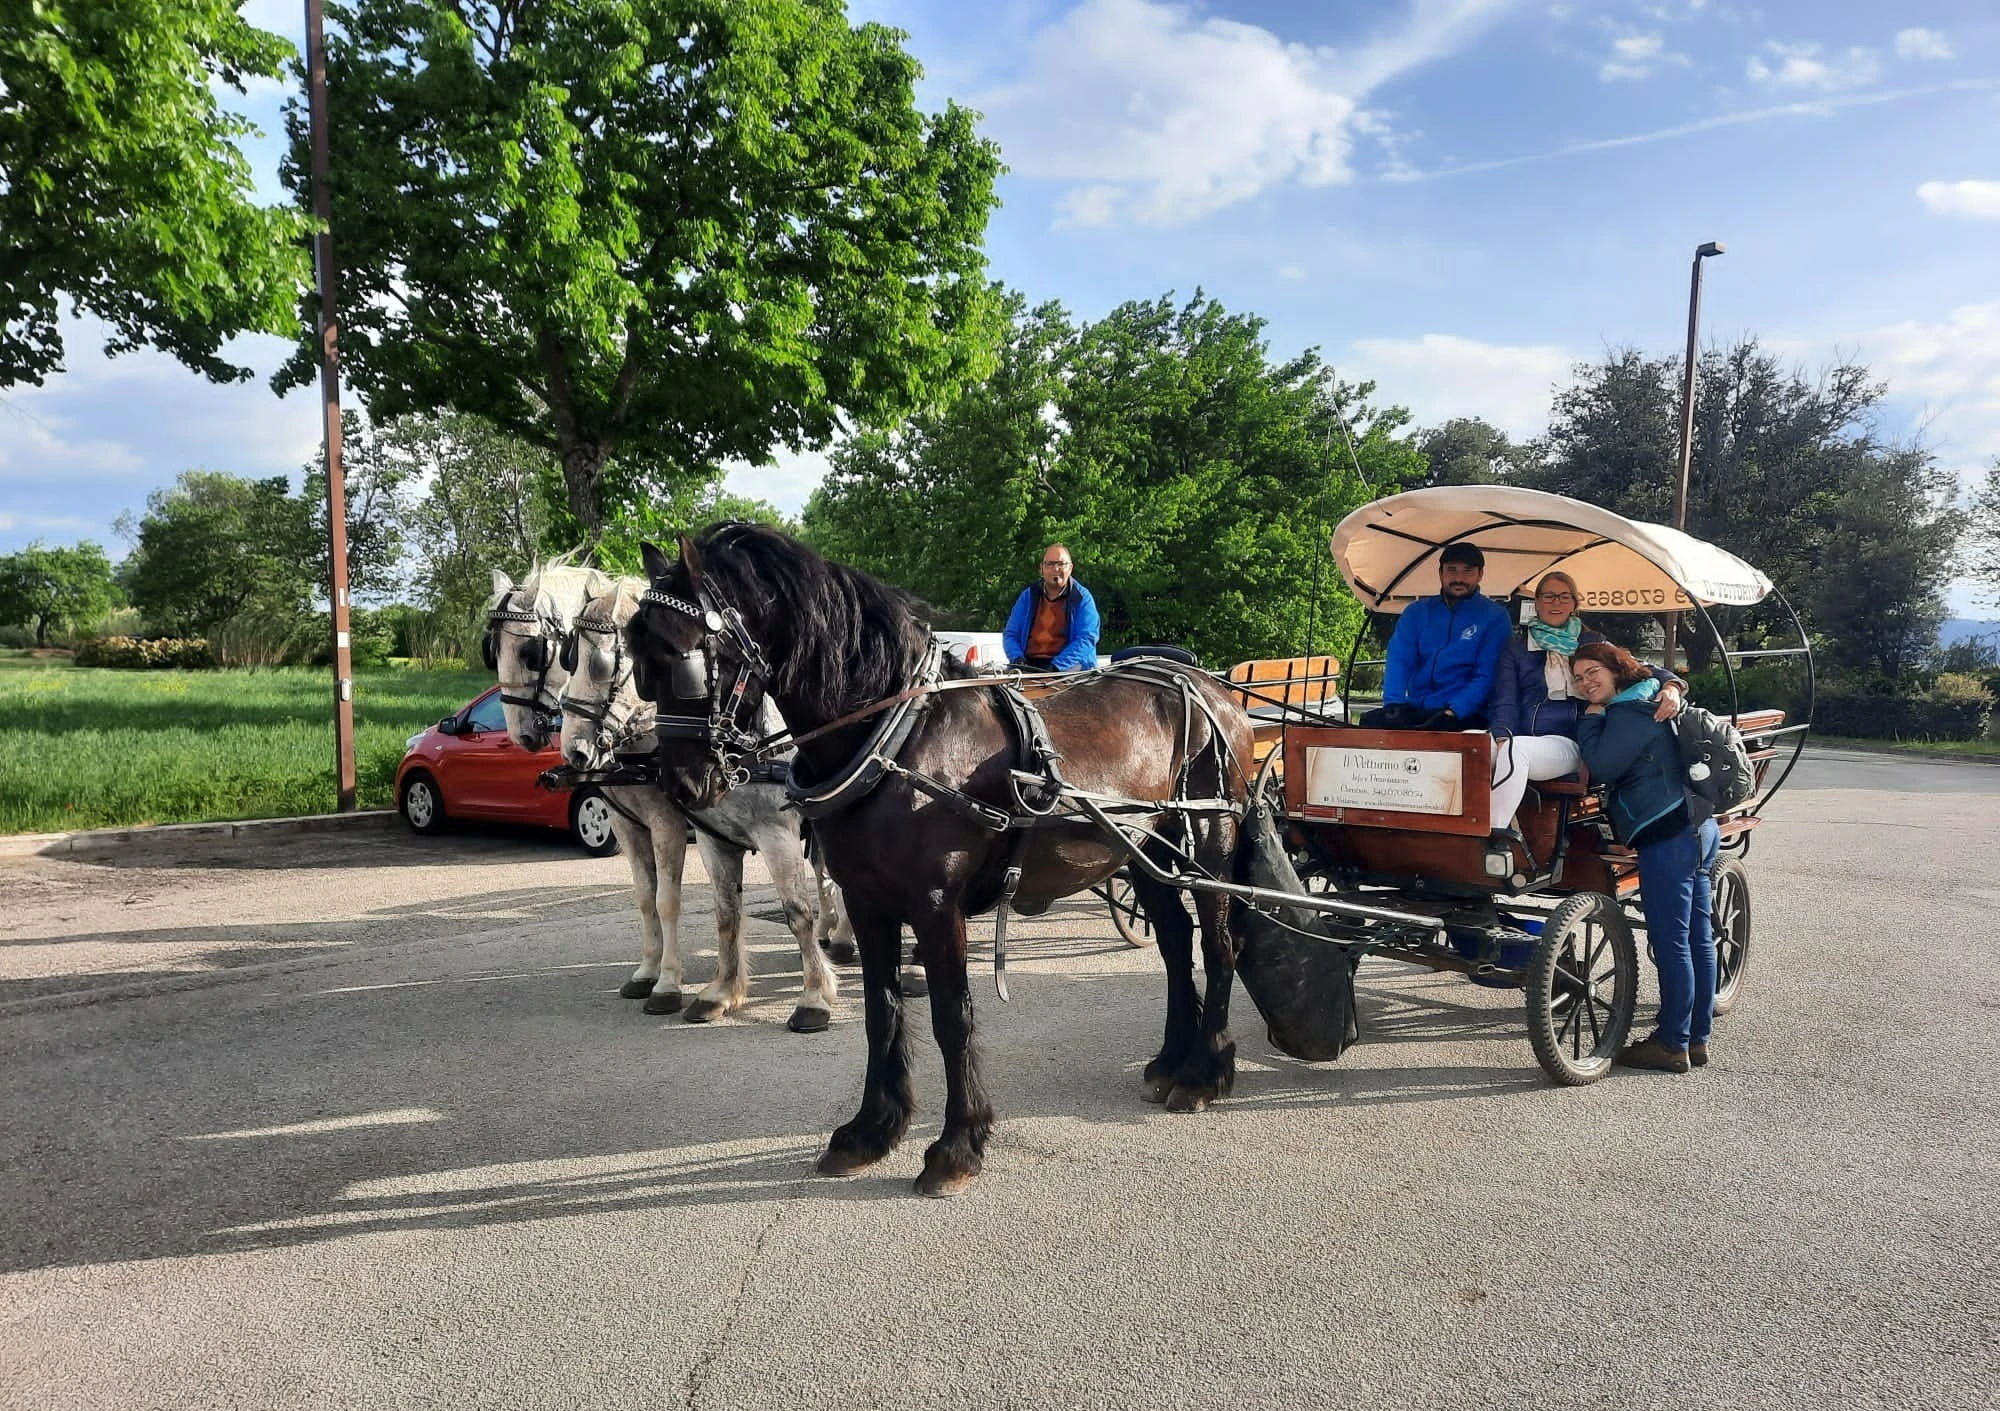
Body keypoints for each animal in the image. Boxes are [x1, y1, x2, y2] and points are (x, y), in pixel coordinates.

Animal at [490, 563, 852, 1031]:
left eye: (531, 652)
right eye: (494, 650)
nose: (569, 749)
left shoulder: (678, 824)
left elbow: (671, 901)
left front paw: (668, 984)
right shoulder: (633, 825)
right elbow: (657, 900)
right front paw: (652, 973)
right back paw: (834, 932)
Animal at [628, 523, 1248, 1191]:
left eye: (686, 658)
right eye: (639, 664)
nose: (681, 785)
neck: (900, 737)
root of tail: (1214, 689)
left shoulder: (934, 905)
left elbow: (953, 1018)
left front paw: (957, 1146)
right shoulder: (866, 901)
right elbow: (881, 1013)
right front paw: (870, 1131)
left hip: (1210, 843)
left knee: (1218, 946)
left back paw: (1204, 1072)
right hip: (1143, 852)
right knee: (1175, 943)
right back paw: (1170, 1060)